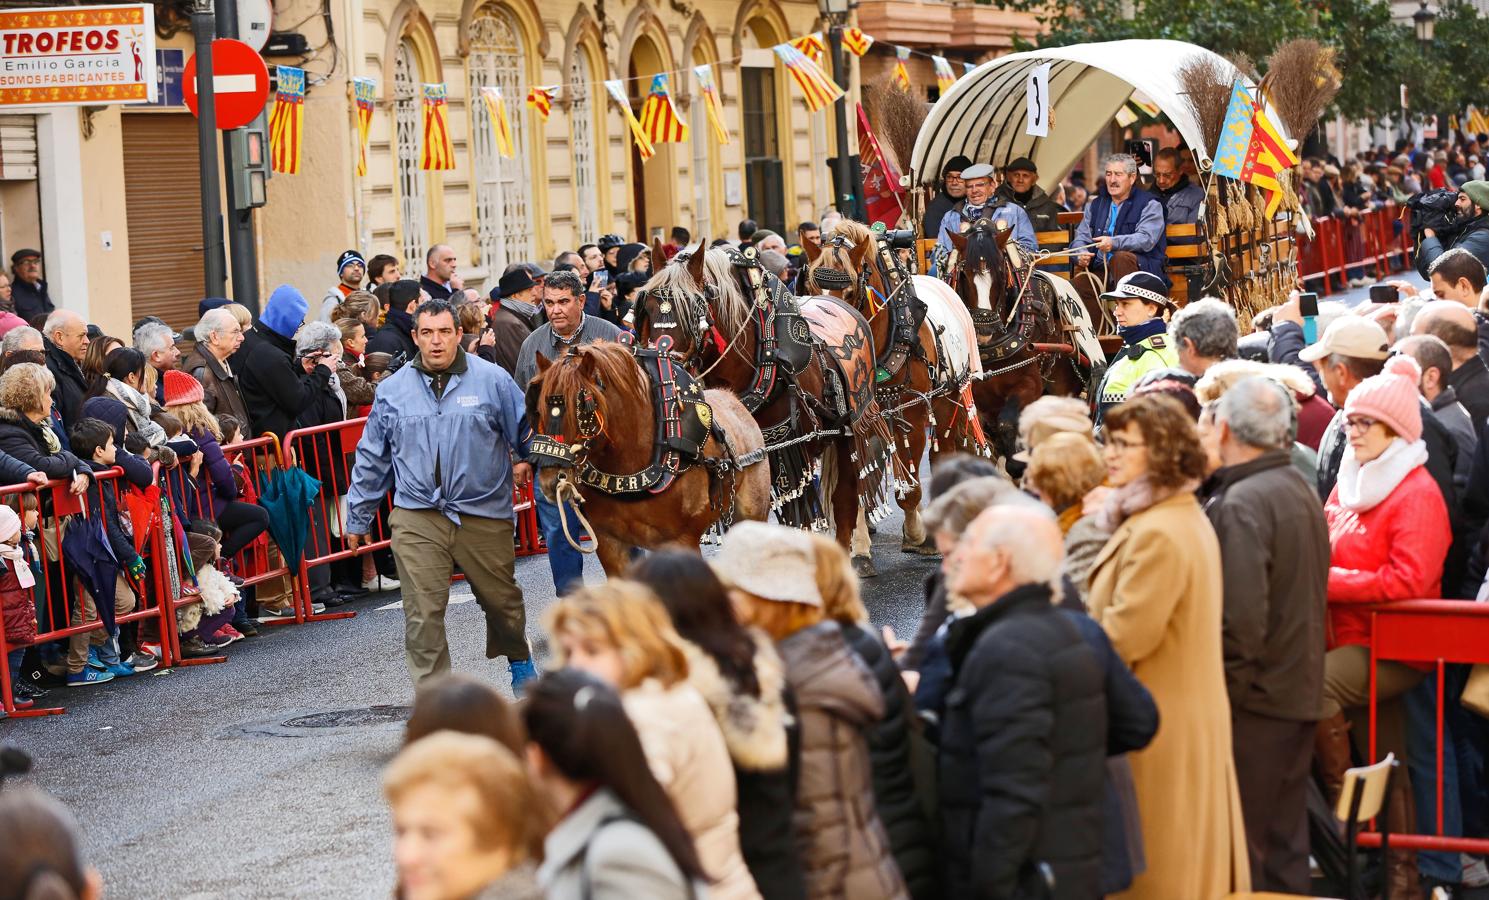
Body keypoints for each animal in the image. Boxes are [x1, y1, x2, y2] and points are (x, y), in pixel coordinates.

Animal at [530, 336, 774, 575]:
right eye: (539, 408)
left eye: (581, 408)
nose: (551, 482)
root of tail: (734, 400)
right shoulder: (609, 543)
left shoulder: (681, 541)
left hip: (753, 513)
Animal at [628, 242, 893, 560]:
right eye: (646, 309)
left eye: (692, 311)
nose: (660, 366)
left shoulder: (789, 450)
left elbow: (799, 516)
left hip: (849, 428)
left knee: (845, 497)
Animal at [798, 222, 982, 560]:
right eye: (812, 288)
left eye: (850, 290)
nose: (825, 344)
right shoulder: (856, 421)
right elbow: (857, 483)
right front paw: (859, 546)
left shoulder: (912, 415)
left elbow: (910, 486)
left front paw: (917, 533)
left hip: (947, 399)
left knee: (943, 451)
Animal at [947, 217, 1101, 455]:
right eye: (964, 274)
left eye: (1001, 273)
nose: (984, 330)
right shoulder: (975, 397)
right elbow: (985, 435)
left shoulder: (1029, 383)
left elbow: (1008, 424)